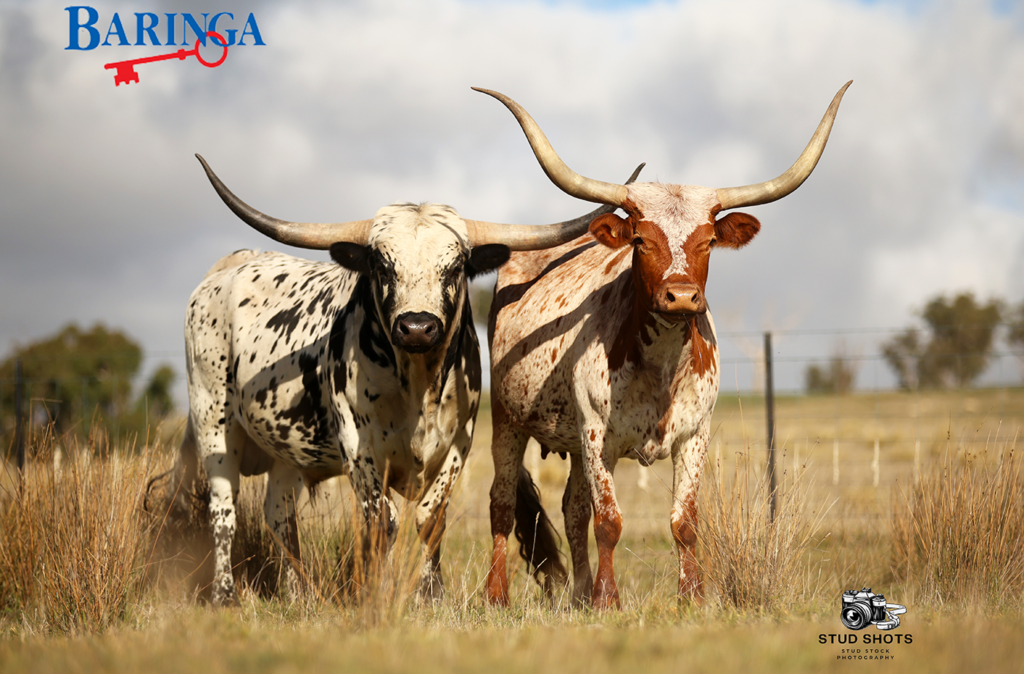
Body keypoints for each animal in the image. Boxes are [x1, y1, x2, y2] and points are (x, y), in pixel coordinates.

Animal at [154, 153, 643, 606]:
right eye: (382, 266)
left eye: (455, 267)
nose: (417, 327)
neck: (418, 387)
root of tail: (229, 267)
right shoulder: (358, 447)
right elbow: (381, 519)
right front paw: (379, 591)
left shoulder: (459, 443)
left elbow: (431, 517)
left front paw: (431, 593)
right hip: (214, 426)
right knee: (224, 511)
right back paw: (224, 595)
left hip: (284, 450)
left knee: (279, 513)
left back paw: (299, 594)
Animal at [478, 82, 851, 608]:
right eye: (640, 238)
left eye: (709, 240)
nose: (681, 295)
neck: (660, 367)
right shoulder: (598, 435)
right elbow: (608, 522)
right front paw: (608, 600)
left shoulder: (695, 435)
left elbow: (683, 522)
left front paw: (690, 595)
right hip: (507, 420)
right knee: (503, 503)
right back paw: (498, 594)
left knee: (572, 509)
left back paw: (577, 594)